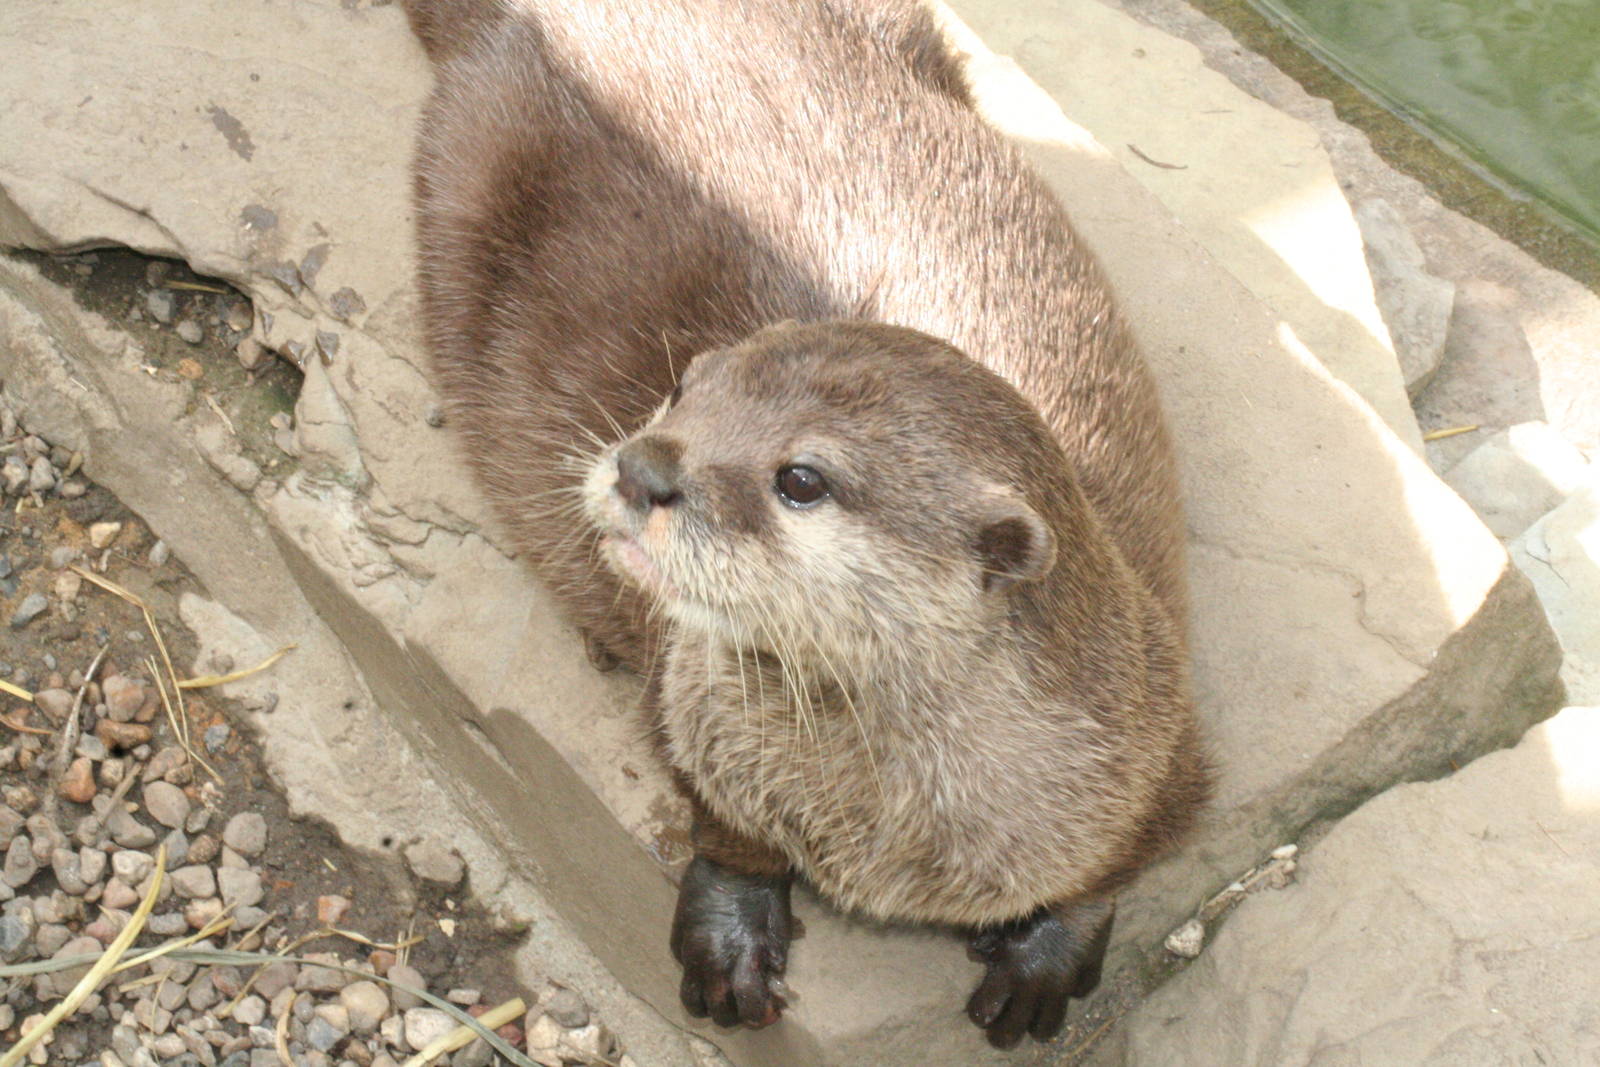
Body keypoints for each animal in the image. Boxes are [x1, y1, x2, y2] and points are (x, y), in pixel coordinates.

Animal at [401, 0, 1209, 1049]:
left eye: (800, 478)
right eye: (684, 387)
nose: (643, 467)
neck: (881, 822)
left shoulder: (1159, 735)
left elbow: (1118, 863)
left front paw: (1044, 956)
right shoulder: (689, 705)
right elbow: (723, 822)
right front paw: (732, 933)